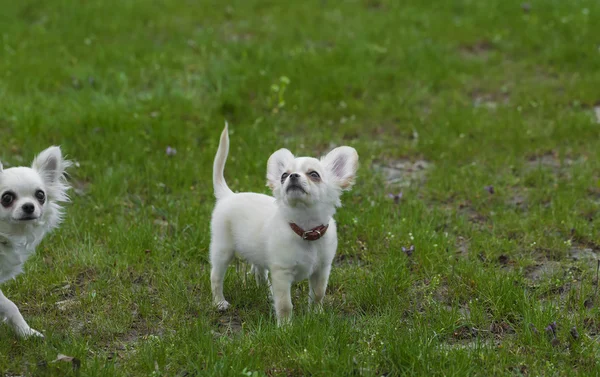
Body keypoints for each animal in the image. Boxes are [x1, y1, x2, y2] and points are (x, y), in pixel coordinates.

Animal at [0, 145, 70, 336]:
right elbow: (9, 304)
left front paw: (26, 333)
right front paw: (24, 331)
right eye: (6, 198)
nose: (29, 206)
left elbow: (10, 306)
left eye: (40, 195)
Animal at [211, 123, 358, 324]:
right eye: (283, 175)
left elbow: (318, 294)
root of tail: (228, 195)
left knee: (259, 272)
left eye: (314, 174)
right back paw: (219, 303)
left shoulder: (321, 270)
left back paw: (265, 294)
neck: (305, 229)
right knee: (216, 277)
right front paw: (286, 326)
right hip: (222, 250)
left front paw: (316, 315)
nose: (292, 176)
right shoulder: (282, 273)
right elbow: (285, 304)